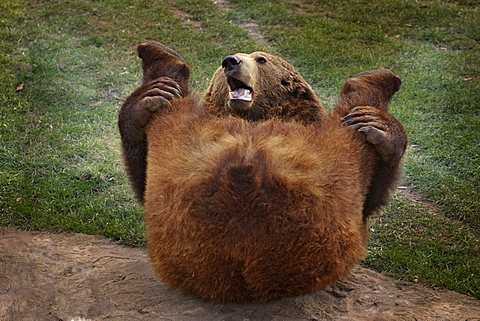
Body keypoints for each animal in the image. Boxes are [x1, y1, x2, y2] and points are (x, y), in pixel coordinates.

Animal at [118, 41, 406, 302]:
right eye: (226, 62)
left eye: (261, 59)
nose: (231, 61)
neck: (253, 117)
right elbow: (142, 179)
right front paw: (145, 103)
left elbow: (371, 200)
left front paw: (380, 128)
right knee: (170, 117)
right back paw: (159, 75)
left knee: (353, 134)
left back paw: (373, 98)